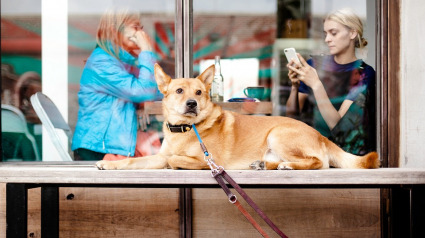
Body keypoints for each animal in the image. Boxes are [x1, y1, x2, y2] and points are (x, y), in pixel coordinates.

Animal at [94, 64, 380, 170]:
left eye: (199, 92)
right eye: (179, 91)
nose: (192, 103)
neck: (186, 130)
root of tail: (320, 135)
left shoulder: (208, 161)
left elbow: (174, 159)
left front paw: (175, 162)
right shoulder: (157, 155)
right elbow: (135, 161)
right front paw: (111, 165)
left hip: (278, 134)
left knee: (319, 162)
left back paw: (288, 166)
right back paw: (264, 165)